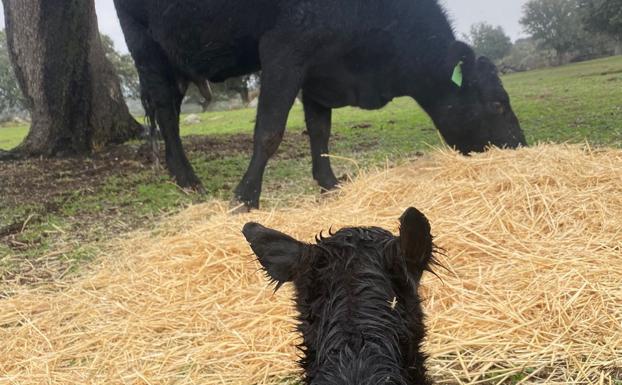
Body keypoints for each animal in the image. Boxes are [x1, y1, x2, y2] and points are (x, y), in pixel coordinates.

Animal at [114, 0, 528, 210]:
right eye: (497, 104)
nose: (521, 147)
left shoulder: (318, 72)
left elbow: (320, 132)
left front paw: (330, 183)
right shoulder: (285, 49)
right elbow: (269, 131)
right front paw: (245, 197)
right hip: (146, 46)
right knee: (166, 112)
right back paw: (187, 178)